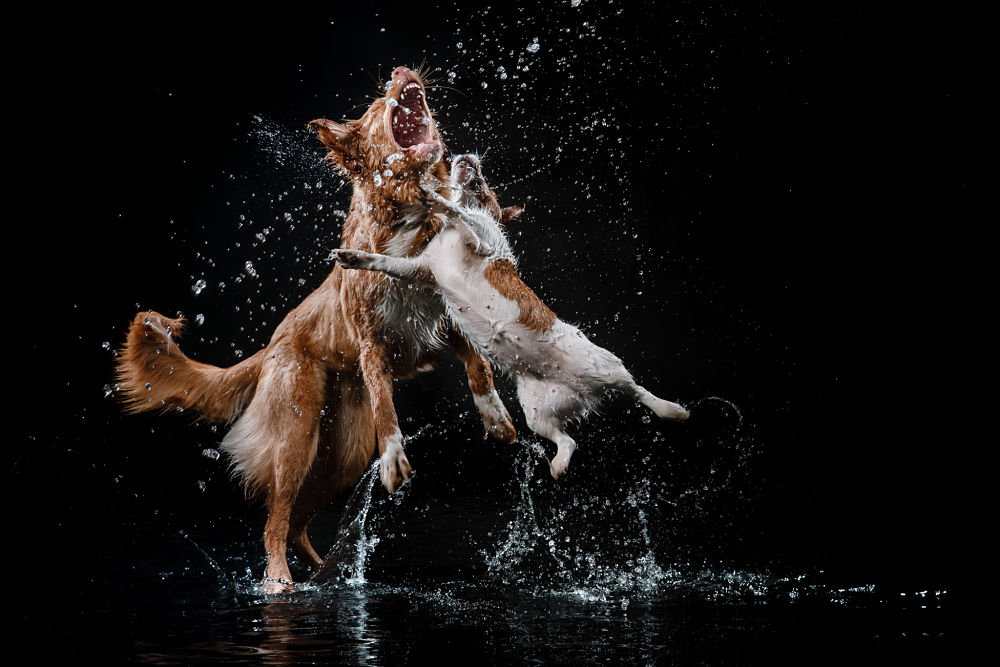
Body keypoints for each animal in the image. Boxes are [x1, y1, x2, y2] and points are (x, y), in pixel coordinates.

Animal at [115, 68, 516, 592]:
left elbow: (479, 366)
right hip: (296, 435)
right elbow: (387, 407)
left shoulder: (450, 321)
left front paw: (496, 416)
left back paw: (327, 572)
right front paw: (394, 458)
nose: (400, 72)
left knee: (297, 521)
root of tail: (271, 345)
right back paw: (280, 580)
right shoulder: (372, 343)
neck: (408, 217)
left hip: (343, 454)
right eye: (375, 105)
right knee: (275, 520)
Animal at [334, 157, 688, 480]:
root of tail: (586, 393)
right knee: (568, 440)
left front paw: (437, 199)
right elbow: (387, 262)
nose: (467, 157)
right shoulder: (420, 271)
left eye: (484, 181)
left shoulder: (482, 240)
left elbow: (460, 214)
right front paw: (355, 257)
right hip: (537, 412)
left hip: (603, 365)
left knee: (636, 389)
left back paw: (671, 409)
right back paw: (559, 464)